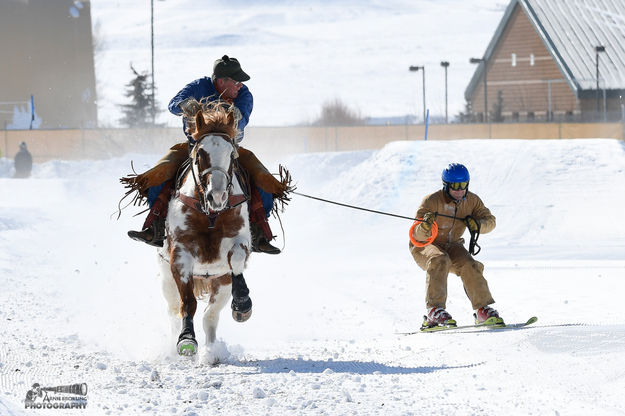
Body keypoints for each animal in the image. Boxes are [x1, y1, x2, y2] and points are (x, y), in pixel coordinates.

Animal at [157, 103, 252, 358]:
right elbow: (188, 303)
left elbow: (236, 259)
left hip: (220, 282)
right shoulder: (180, 255)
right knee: (173, 309)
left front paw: (243, 301)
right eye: (200, 153)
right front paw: (186, 340)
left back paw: (211, 352)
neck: (210, 215)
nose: (216, 196)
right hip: (165, 278)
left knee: (211, 314)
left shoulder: (238, 243)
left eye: (231, 154)